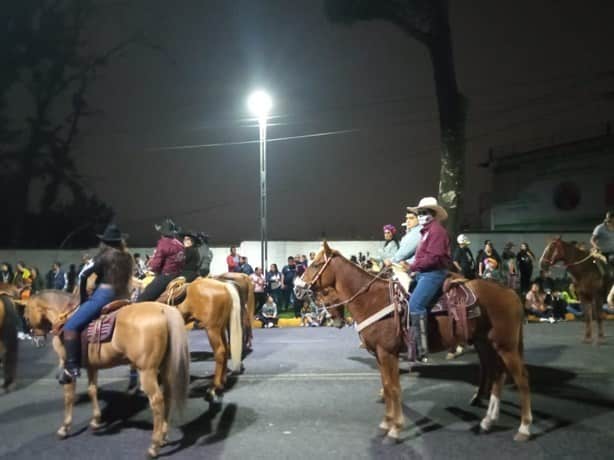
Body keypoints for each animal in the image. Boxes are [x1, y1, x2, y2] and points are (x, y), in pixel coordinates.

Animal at [20, 290, 189, 458]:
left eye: (26, 316)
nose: (36, 339)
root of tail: (162, 310)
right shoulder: (92, 367)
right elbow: (92, 390)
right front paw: (95, 420)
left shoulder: (67, 367)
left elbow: (69, 397)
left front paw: (65, 428)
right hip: (164, 368)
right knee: (167, 396)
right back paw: (163, 437)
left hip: (147, 371)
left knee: (157, 402)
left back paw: (154, 446)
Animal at [294, 244, 536, 442]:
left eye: (316, 264)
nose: (297, 288)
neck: (372, 299)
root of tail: (510, 291)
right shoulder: (380, 355)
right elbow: (386, 386)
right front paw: (386, 422)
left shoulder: (388, 353)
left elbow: (393, 388)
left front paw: (395, 429)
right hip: (487, 343)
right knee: (497, 374)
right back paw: (488, 420)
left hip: (506, 346)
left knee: (522, 379)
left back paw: (524, 428)